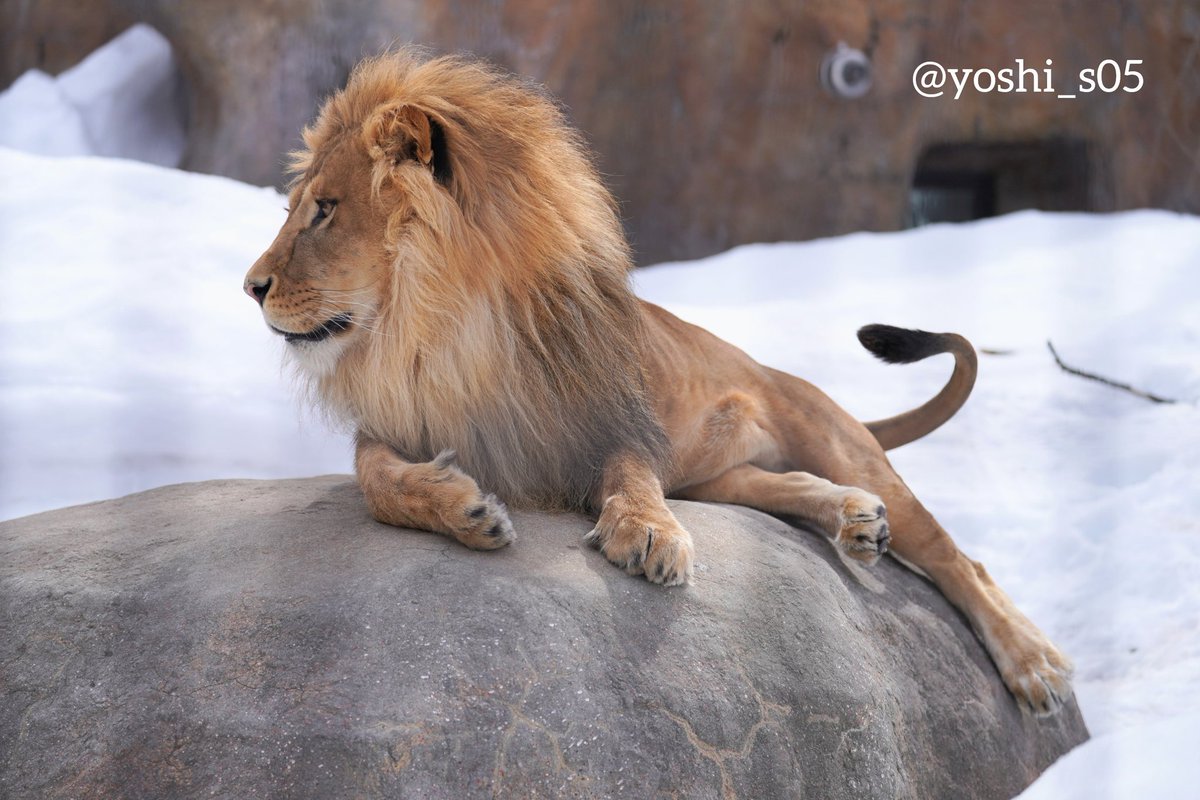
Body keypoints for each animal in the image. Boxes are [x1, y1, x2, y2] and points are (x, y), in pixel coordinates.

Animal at [244, 49, 1073, 716]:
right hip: (727, 479)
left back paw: (1033, 665)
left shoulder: (610, 418)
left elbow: (630, 477)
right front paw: (464, 509)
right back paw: (853, 522)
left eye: (324, 211)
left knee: (960, 558)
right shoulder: (392, 427)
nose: (250, 287)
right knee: (792, 488)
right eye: (297, 208)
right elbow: (379, 483)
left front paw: (646, 535)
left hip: (839, 441)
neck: (435, 331)